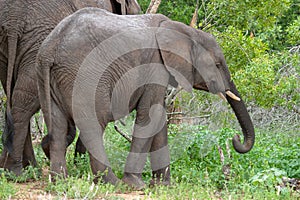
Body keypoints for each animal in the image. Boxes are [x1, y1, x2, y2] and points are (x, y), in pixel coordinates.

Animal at [0, 0, 141, 175]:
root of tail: (14, 21)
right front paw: (80, 162)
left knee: (13, 95)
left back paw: (21, 168)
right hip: (41, 38)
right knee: (25, 100)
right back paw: (16, 171)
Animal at [35, 7, 255, 189]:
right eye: (217, 64)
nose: (235, 138)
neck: (184, 31)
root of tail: (51, 46)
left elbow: (159, 120)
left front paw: (163, 186)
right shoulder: (155, 66)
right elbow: (150, 116)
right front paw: (136, 185)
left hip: (50, 77)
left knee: (58, 127)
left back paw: (60, 182)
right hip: (86, 75)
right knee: (94, 125)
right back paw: (112, 183)